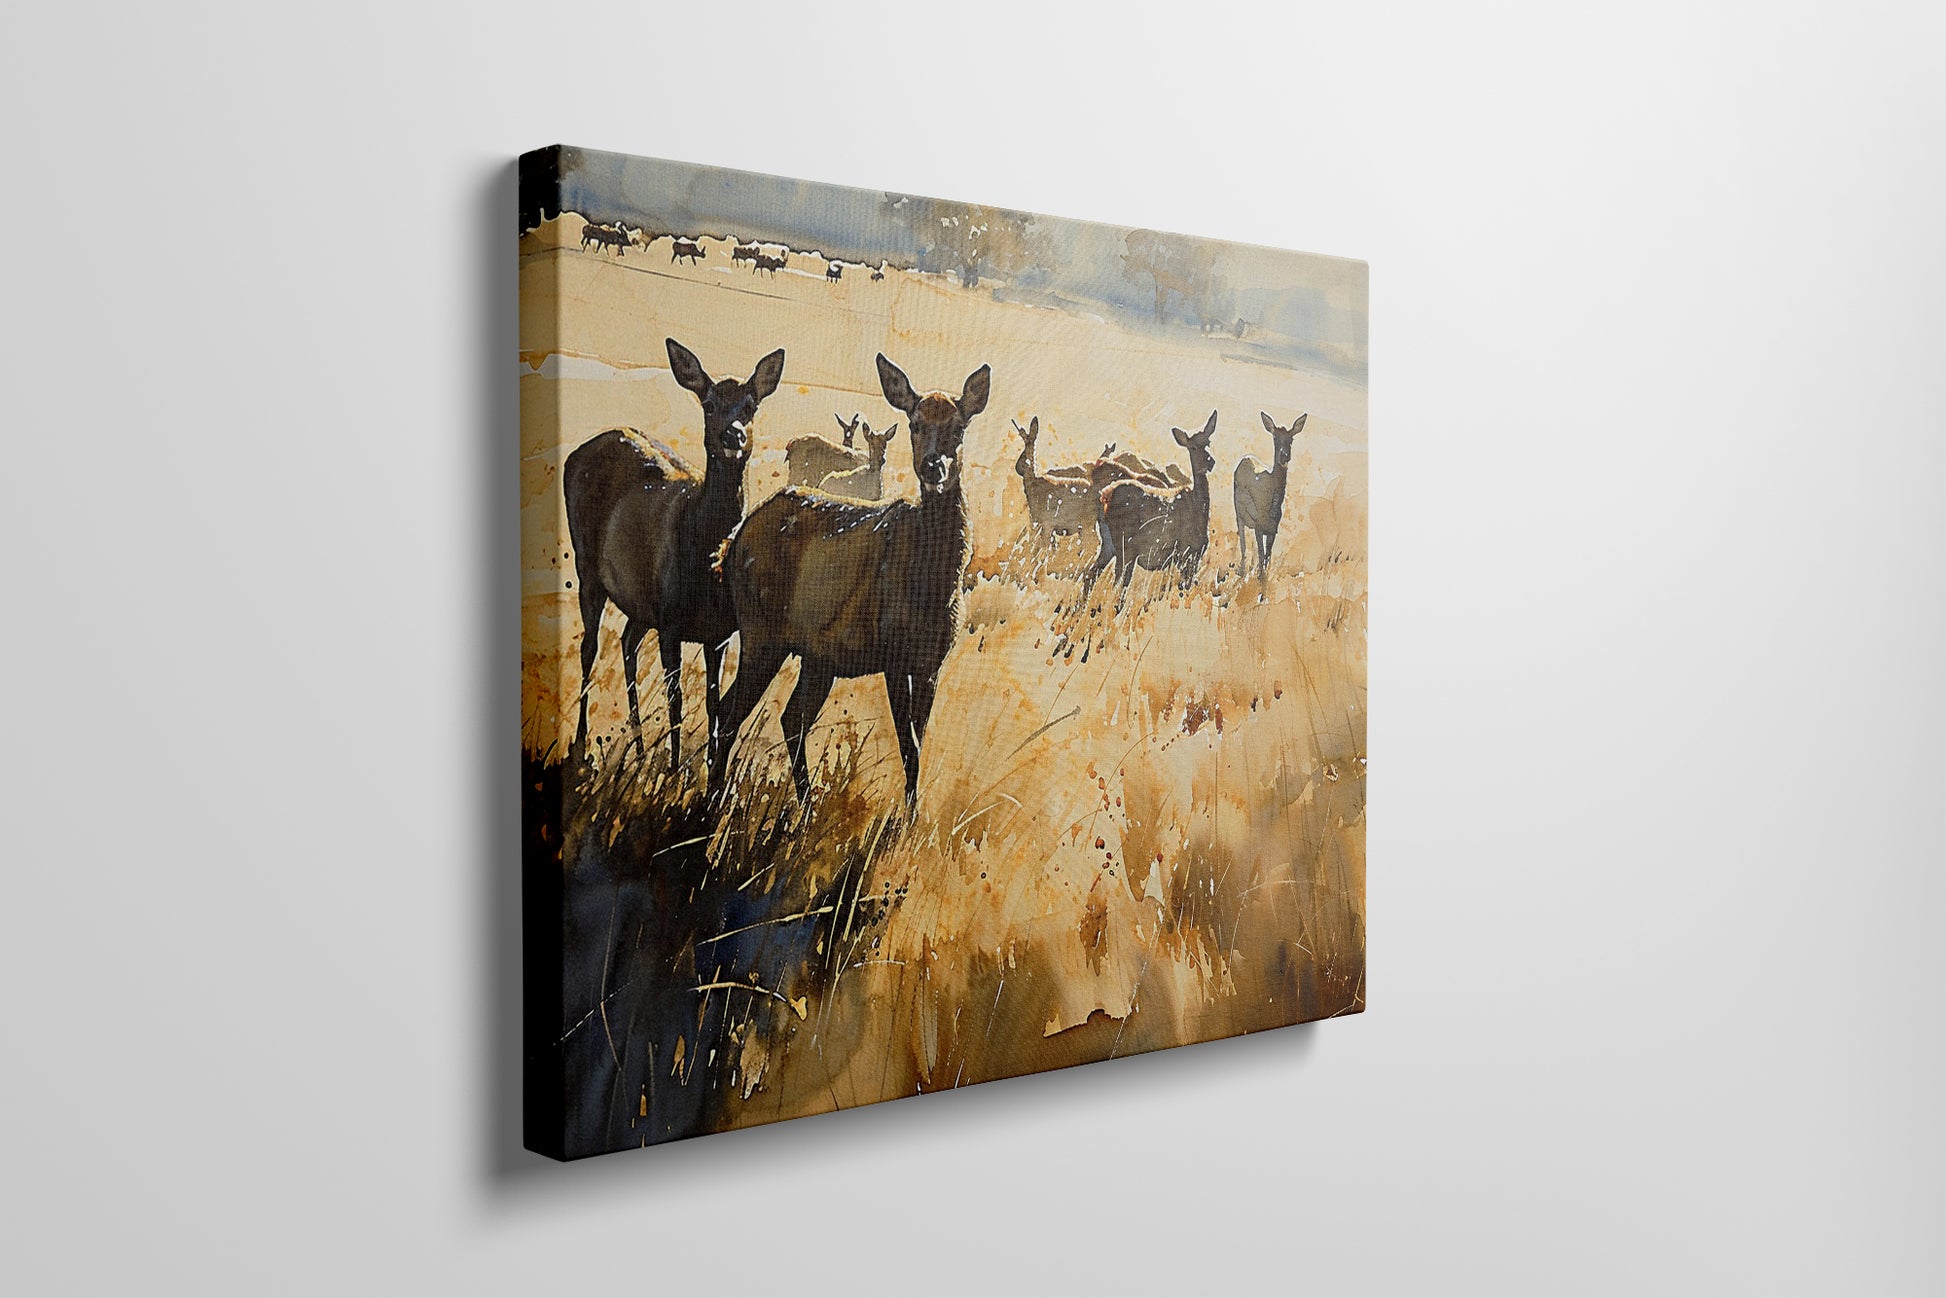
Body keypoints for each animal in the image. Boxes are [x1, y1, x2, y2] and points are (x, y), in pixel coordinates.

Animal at [563, 338, 786, 770]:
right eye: (709, 403)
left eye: (750, 405)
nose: (733, 435)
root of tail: (578, 451)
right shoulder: (670, 623)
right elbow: (677, 701)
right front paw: (674, 770)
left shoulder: (718, 633)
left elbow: (714, 705)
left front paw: (707, 766)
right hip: (587, 566)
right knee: (589, 647)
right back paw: (582, 748)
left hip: (638, 600)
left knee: (627, 642)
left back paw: (638, 749)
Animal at [710, 354, 992, 809]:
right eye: (915, 423)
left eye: (959, 426)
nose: (933, 465)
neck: (932, 584)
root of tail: (732, 545)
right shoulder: (893, 651)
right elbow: (909, 747)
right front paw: (902, 820)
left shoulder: (932, 662)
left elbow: (919, 745)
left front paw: (908, 817)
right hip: (761, 630)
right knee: (731, 710)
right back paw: (712, 802)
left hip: (817, 655)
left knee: (789, 717)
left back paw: (801, 807)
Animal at [1083, 410, 1219, 604]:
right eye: (1192, 447)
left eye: (1208, 443)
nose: (1210, 462)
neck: (1201, 508)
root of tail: (1105, 496)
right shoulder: (1187, 553)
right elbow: (1184, 588)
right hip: (1126, 546)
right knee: (1118, 584)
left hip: (1109, 545)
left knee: (1091, 575)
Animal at [1234, 411, 1308, 587]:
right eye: (1275, 438)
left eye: (1291, 439)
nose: (1284, 456)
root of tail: (1246, 458)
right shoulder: (1259, 527)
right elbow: (1262, 560)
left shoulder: (1273, 531)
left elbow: (1267, 559)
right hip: (1239, 514)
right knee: (1243, 543)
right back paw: (1242, 571)